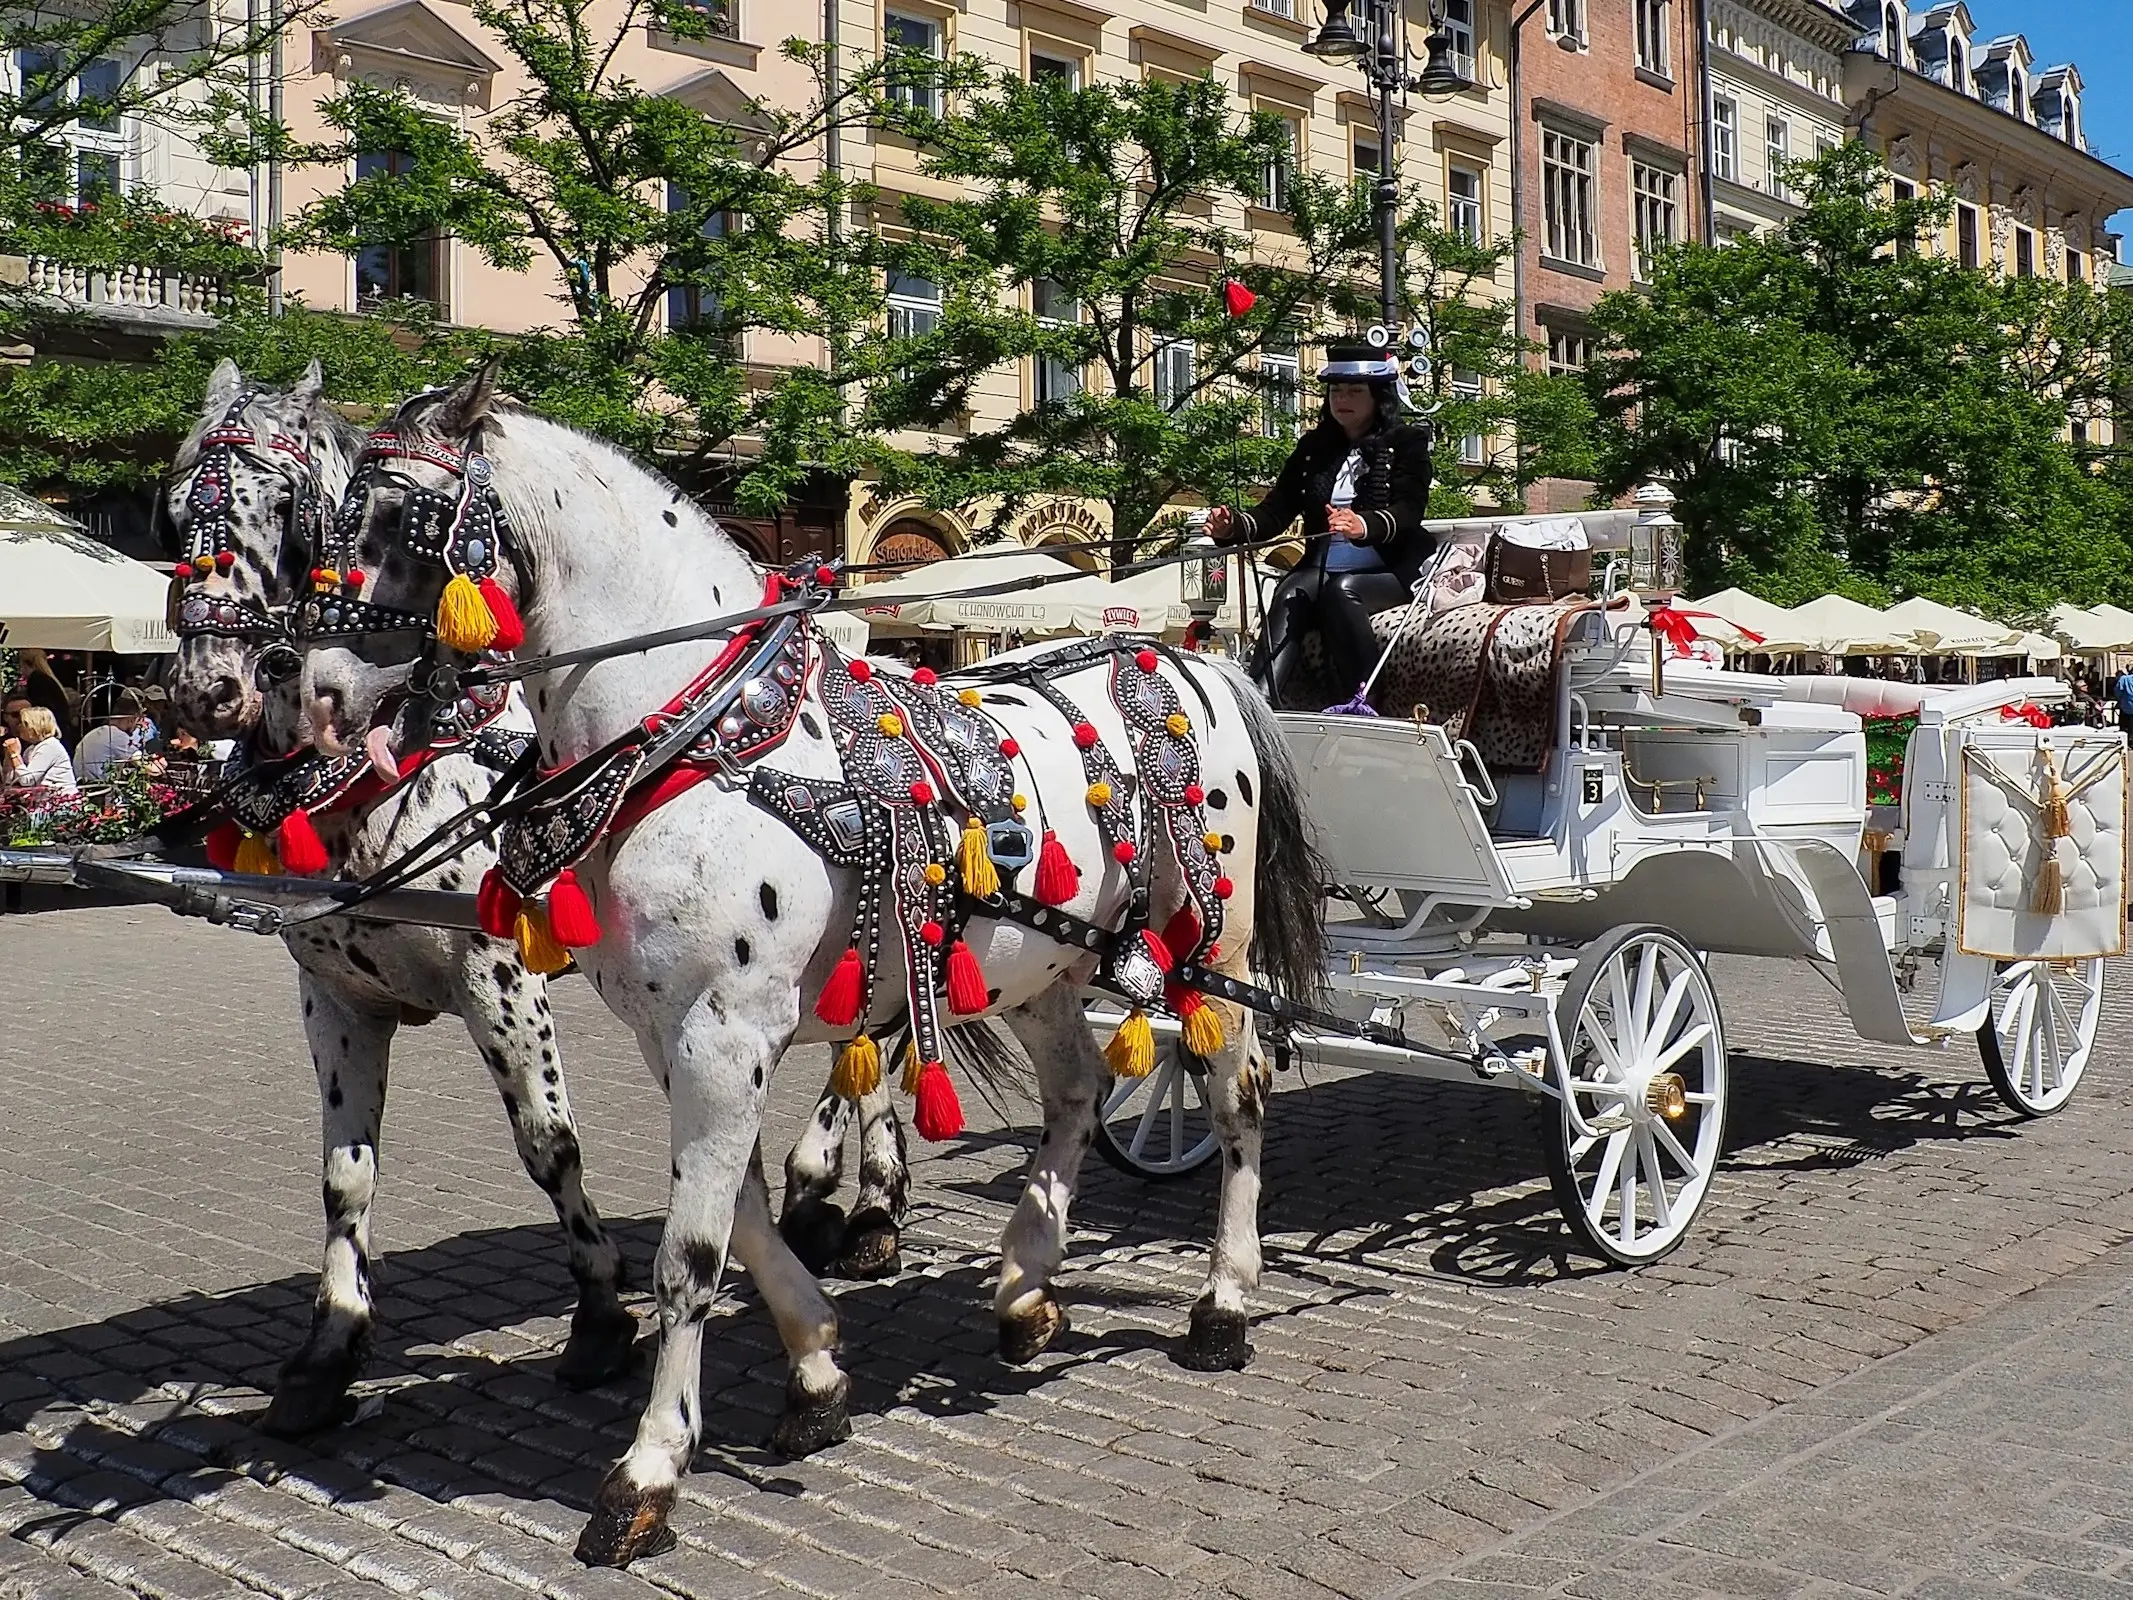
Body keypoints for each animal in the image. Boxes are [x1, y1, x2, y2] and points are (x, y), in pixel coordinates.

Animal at [296, 360, 1330, 1570]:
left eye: (395, 517)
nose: (314, 692)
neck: (702, 737)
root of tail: (1187, 654)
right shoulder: (677, 1035)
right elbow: (738, 1219)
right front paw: (819, 1369)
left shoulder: (725, 1027)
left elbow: (690, 1251)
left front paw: (649, 1471)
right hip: (1049, 965)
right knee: (1077, 1091)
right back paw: (1027, 1284)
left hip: (1211, 947)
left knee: (1235, 1095)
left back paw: (1222, 1301)